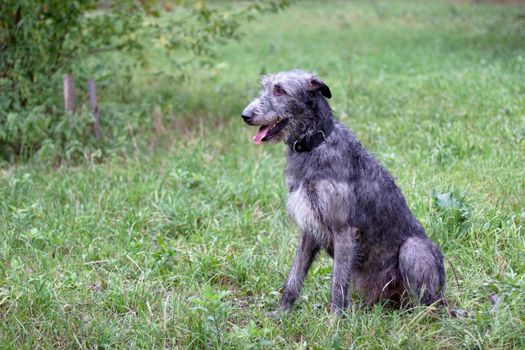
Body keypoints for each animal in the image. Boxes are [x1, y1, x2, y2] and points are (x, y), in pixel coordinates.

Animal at [239, 69, 444, 314]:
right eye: (265, 87)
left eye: (280, 90)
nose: (245, 115)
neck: (314, 145)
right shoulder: (309, 228)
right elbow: (294, 277)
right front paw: (282, 313)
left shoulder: (344, 231)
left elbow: (337, 285)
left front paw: (335, 321)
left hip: (414, 249)